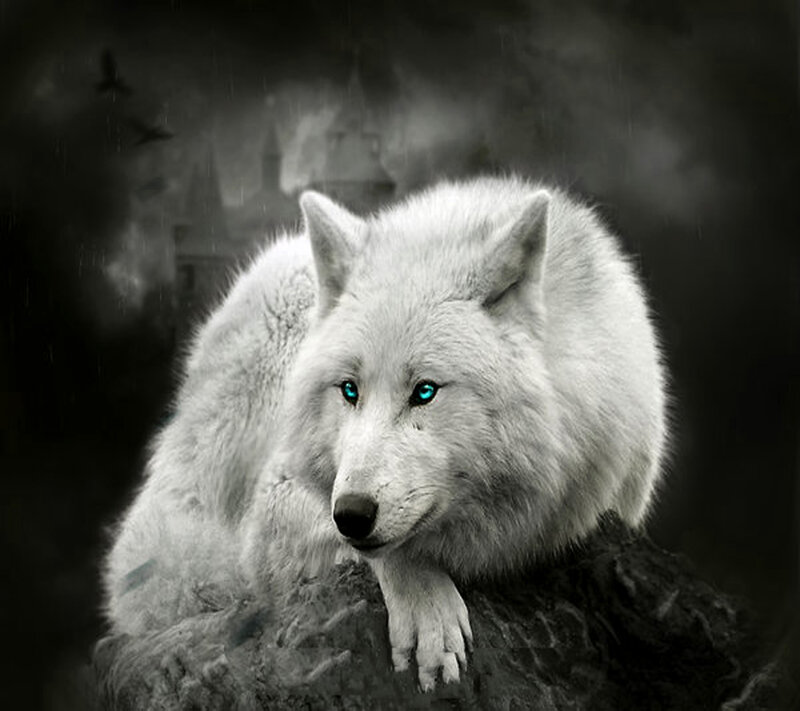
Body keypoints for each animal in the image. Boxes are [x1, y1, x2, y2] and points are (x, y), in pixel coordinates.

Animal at [104, 176, 667, 692]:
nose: (352, 513)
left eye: (425, 391)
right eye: (349, 389)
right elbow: (389, 550)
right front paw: (425, 605)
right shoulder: (276, 503)